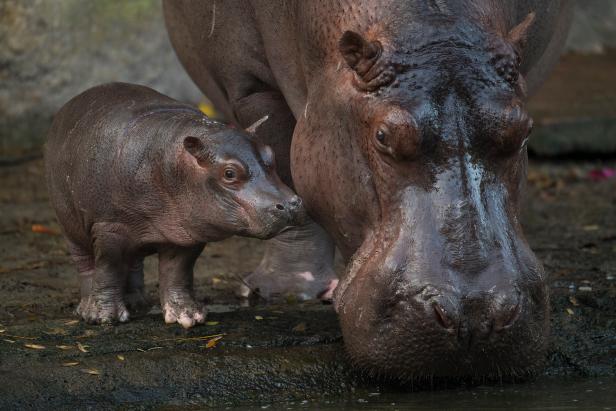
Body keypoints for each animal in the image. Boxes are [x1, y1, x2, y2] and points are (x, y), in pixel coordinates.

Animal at [44, 83, 304, 328]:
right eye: (229, 173)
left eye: (271, 154)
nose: (291, 204)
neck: (172, 164)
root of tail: (67, 107)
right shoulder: (109, 227)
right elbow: (108, 267)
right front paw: (104, 317)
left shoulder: (184, 233)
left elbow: (177, 271)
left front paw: (189, 316)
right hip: (70, 226)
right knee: (87, 264)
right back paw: (85, 307)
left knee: (133, 263)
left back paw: (137, 303)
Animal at [164, 0, 572, 382]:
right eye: (383, 136)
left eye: (523, 130)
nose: (474, 317)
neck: (434, 29)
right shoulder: (252, 85)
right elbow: (281, 164)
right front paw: (287, 290)